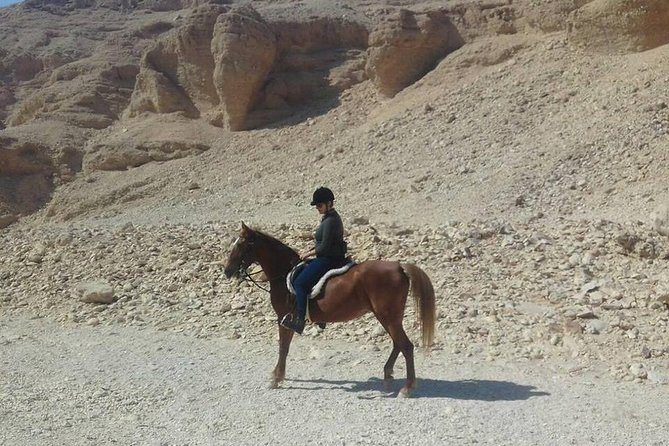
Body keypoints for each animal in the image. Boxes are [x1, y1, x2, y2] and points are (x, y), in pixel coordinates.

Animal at [223, 223, 436, 397]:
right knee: (397, 344)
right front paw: (278, 375)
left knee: (405, 346)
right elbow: (285, 347)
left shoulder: (284, 318)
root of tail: (399, 267)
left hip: (387, 316)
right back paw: (388, 376)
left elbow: (283, 347)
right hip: (387, 317)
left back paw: (407, 388)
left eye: (241, 245)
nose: (227, 271)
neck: (283, 274)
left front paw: (276, 378)